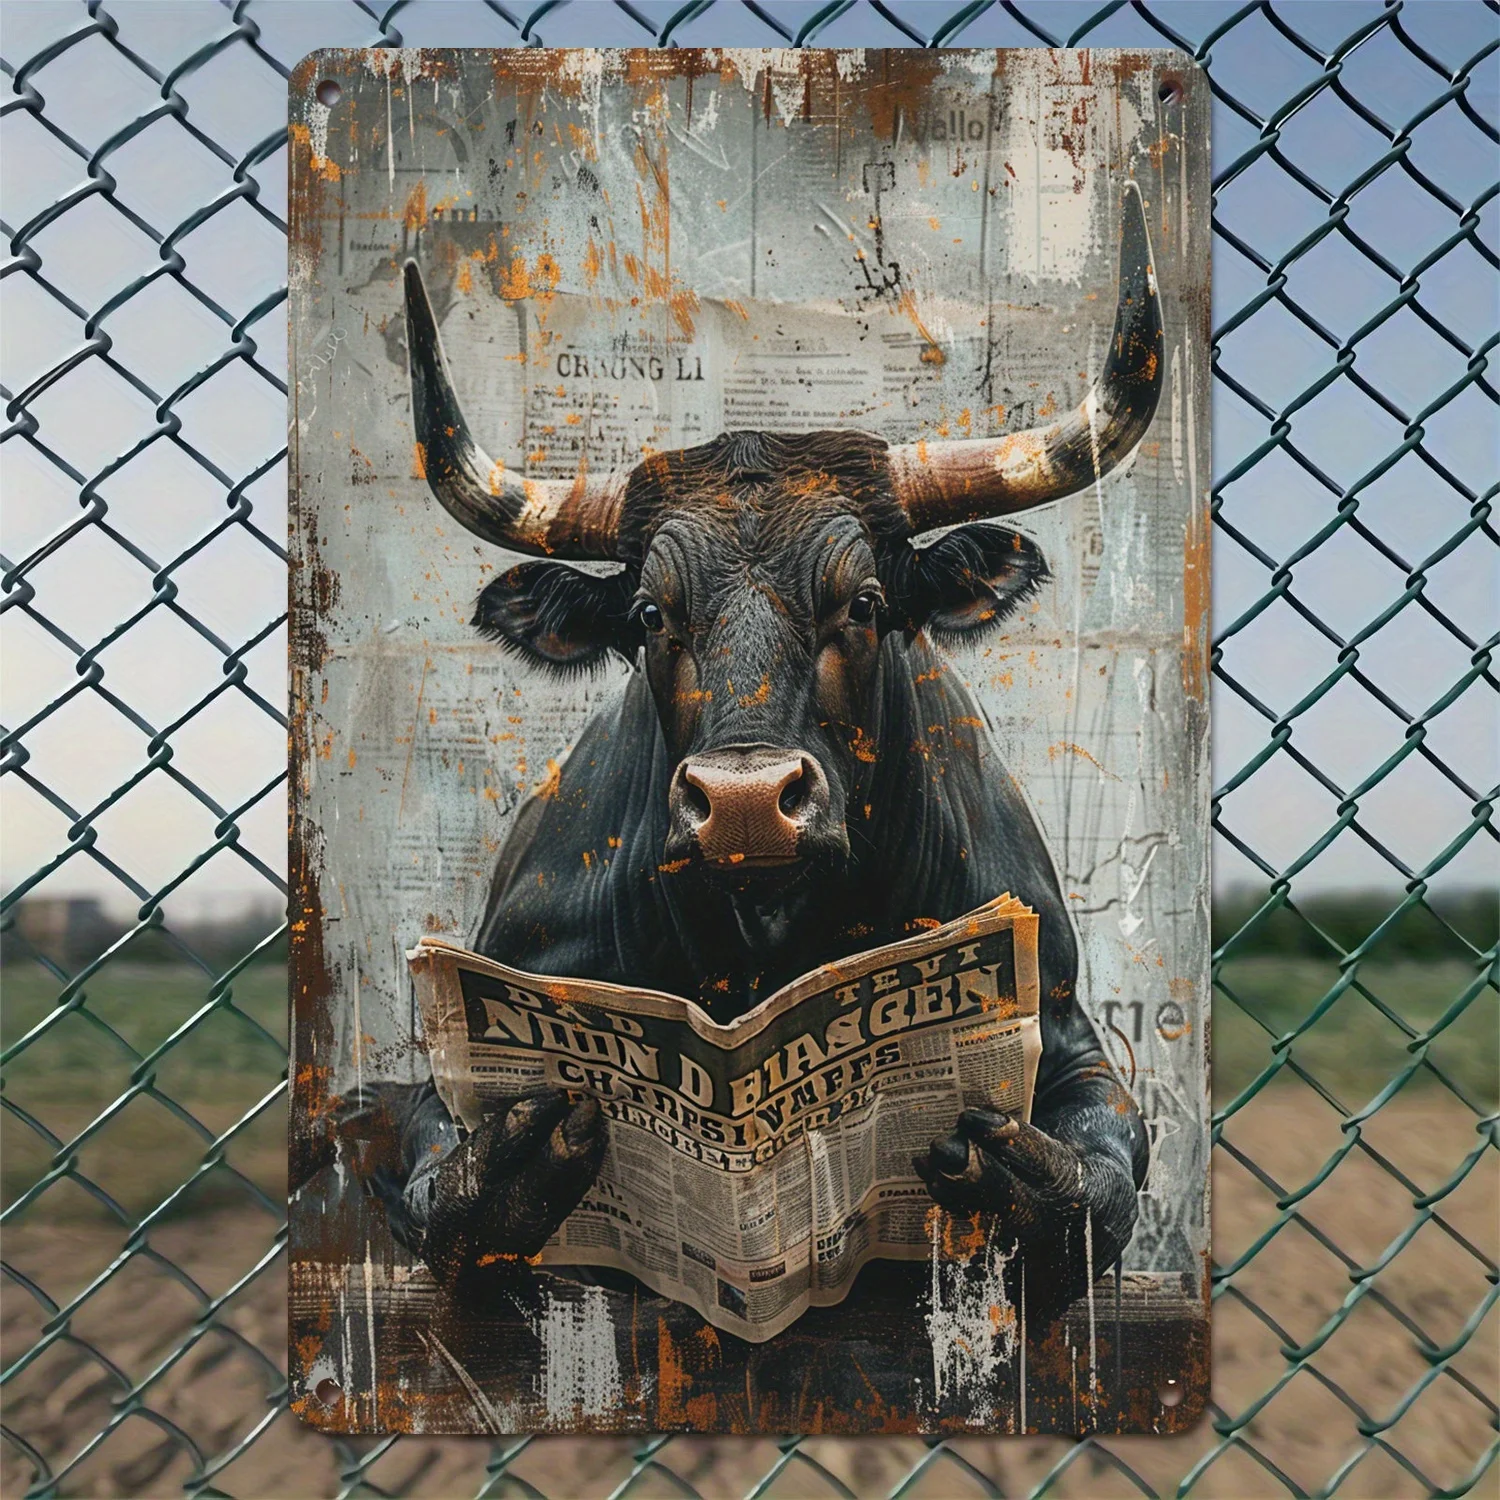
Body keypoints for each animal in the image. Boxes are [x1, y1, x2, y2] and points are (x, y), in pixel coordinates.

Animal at [373, 184, 1162, 1332]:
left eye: (866, 603)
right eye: (650, 614)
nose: (746, 803)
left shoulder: (1061, 1032)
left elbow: (1100, 1178)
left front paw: (1006, 1177)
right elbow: (446, 1186)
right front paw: (525, 1161)